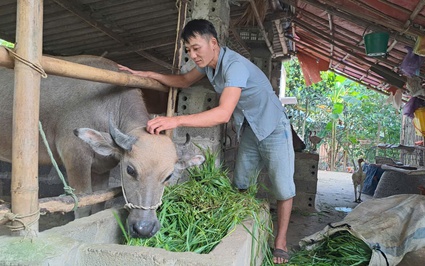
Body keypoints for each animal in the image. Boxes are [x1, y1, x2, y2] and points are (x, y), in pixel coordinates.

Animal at [0, 55, 205, 238]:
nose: (144, 228)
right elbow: (83, 203)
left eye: (168, 176)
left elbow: (98, 202)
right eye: (130, 170)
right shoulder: (76, 158)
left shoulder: (102, 168)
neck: (108, 105)